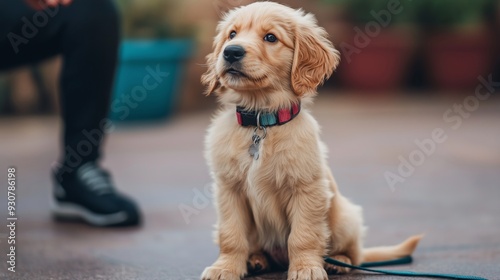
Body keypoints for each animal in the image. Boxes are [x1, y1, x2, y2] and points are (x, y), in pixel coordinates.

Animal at [201, 2, 420, 280]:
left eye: (270, 37)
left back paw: (338, 261)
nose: (231, 52)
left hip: (346, 217)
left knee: (355, 254)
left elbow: (303, 236)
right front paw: (225, 268)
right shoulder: (229, 189)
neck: (262, 121)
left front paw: (306, 268)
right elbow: (231, 235)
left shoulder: (307, 189)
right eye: (232, 34)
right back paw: (257, 260)